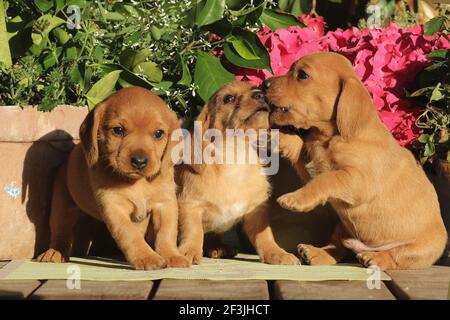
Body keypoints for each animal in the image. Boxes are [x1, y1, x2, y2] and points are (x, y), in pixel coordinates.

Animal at [176, 81, 298, 266]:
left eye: (256, 89)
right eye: (229, 98)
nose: (260, 95)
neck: (235, 158)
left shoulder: (256, 210)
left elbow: (265, 236)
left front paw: (276, 253)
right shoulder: (190, 205)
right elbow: (193, 231)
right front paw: (189, 252)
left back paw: (217, 247)